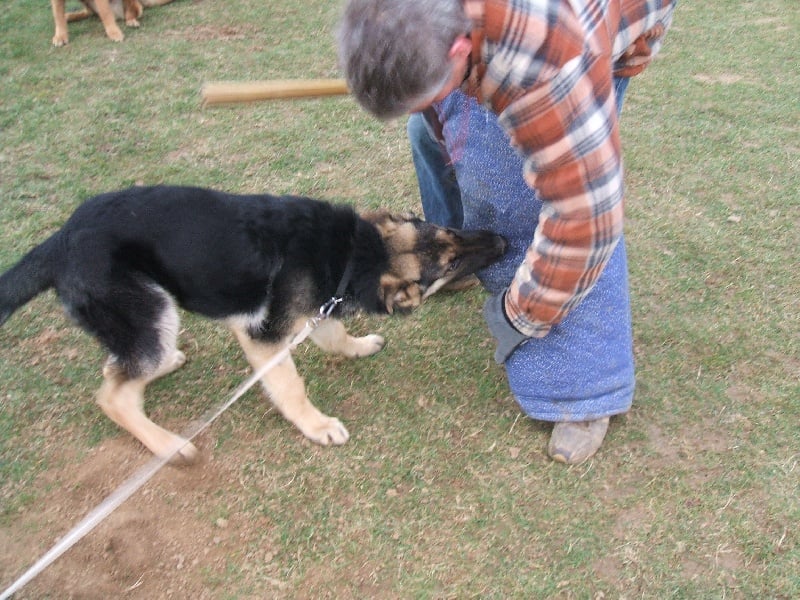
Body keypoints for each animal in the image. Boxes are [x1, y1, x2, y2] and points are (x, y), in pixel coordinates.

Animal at [0, 185, 506, 462]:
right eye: (449, 263)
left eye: (450, 233)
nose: (503, 240)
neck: (354, 253)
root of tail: (60, 241)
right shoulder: (264, 336)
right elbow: (291, 388)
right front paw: (317, 426)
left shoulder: (321, 307)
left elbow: (336, 337)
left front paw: (360, 346)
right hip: (154, 310)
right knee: (112, 395)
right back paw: (169, 447)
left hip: (142, 323)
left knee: (119, 367)